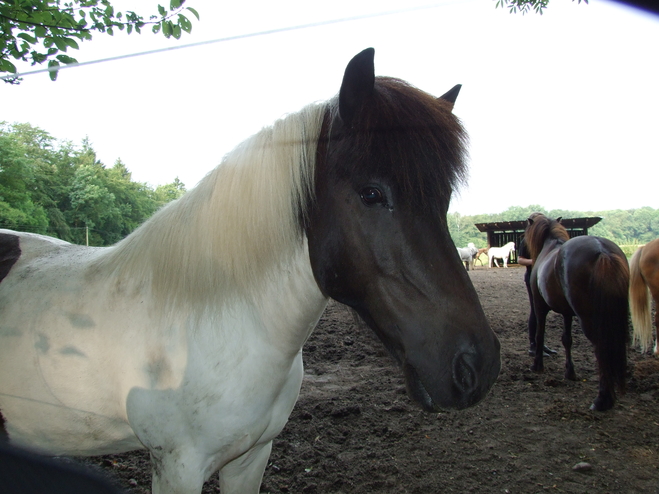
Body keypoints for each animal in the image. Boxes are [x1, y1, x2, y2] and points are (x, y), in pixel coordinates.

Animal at [0, 49, 500, 494]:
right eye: (372, 193)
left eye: (443, 200)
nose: (478, 366)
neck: (216, 324)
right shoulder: (177, 468)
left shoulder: (251, 457)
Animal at [524, 214, 628, 412]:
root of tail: (601, 249)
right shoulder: (566, 313)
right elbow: (567, 340)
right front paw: (570, 372)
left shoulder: (540, 307)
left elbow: (540, 335)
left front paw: (537, 365)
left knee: (601, 347)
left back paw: (602, 399)